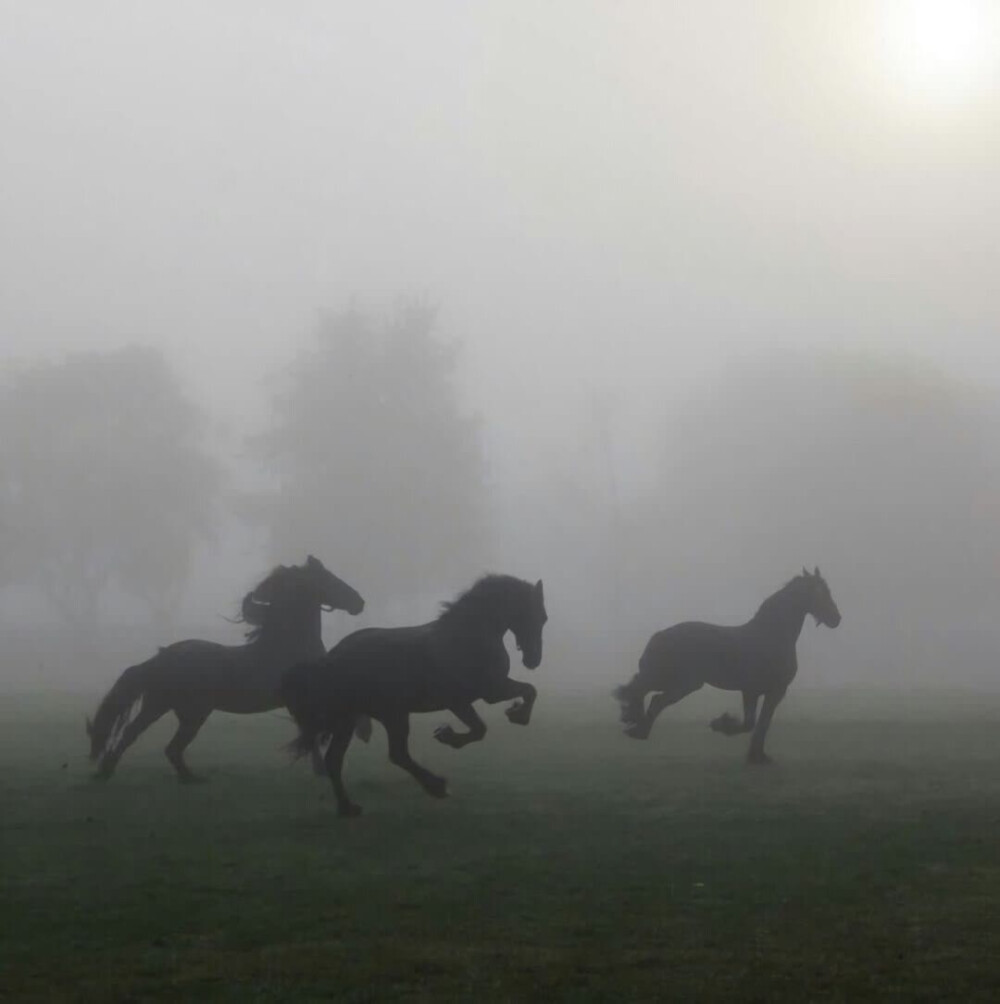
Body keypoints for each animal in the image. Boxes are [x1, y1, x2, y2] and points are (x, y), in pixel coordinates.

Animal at [83, 554, 361, 779]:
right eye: (329, 578)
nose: (359, 602)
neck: (289, 646)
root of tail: (161, 656)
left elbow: (310, 734)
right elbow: (311, 734)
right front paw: (322, 770)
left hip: (159, 705)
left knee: (133, 735)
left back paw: (107, 772)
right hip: (192, 713)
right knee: (169, 747)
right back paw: (189, 778)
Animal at [281, 574, 546, 815]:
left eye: (544, 618)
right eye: (537, 615)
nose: (533, 660)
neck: (467, 636)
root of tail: (330, 659)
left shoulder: (490, 691)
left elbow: (527, 692)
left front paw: (515, 713)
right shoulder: (471, 697)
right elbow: (484, 726)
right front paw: (448, 735)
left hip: (351, 719)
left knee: (337, 759)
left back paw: (349, 807)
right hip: (391, 714)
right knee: (395, 754)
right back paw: (437, 787)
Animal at [614, 570, 839, 763]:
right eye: (820, 592)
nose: (836, 619)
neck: (771, 636)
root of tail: (659, 635)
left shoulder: (770, 692)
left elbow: (761, 723)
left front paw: (758, 756)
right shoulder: (757, 690)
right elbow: (752, 723)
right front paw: (721, 725)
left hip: (681, 683)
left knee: (648, 695)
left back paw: (635, 725)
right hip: (680, 682)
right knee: (648, 694)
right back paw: (636, 727)